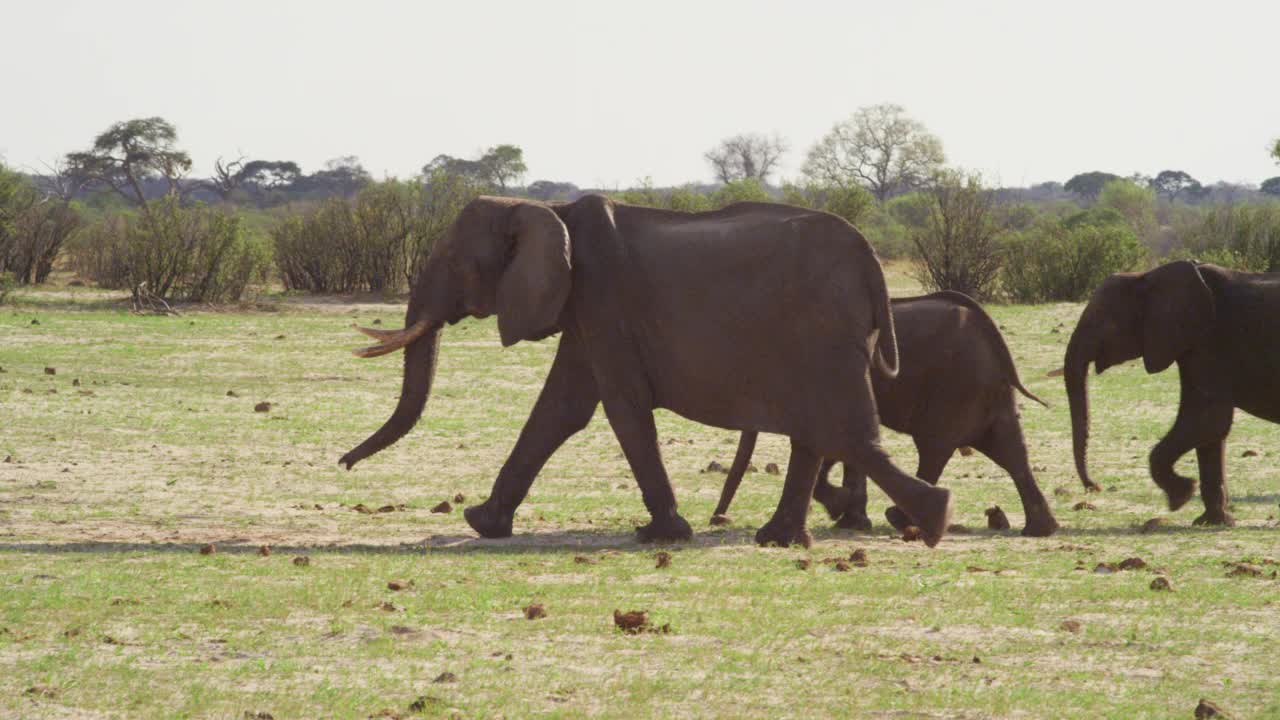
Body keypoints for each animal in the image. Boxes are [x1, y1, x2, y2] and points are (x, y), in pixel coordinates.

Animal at [337, 193, 952, 545]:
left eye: (454, 262)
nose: (343, 463)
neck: (544, 208)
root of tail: (871, 261)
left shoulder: (604, 299)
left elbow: (619, 407)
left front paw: (662, 535)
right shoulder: (585, 309)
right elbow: (560, 408)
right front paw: (482, 524)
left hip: (822, 335)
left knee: (843, 431)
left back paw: (931, 522)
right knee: (823, 433)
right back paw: (782, 539)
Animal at [711, 288, 1059, 535]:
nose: (718, 519)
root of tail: (991, 332)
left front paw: (841, 510)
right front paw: (849, 519)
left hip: (955, 389)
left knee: (935, 448)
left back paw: (899, 519)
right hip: (987, 392)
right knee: (1011, 450)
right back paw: (1040, 530)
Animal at [1064, 257, 1280, 520]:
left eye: (1106, 323)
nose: (1095, 486)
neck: (1148, 277)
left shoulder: (1211, 341)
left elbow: (1206, 420)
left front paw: (1182, 496)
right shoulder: (1192, 345)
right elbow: (1210, 429)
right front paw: (1211, 521)